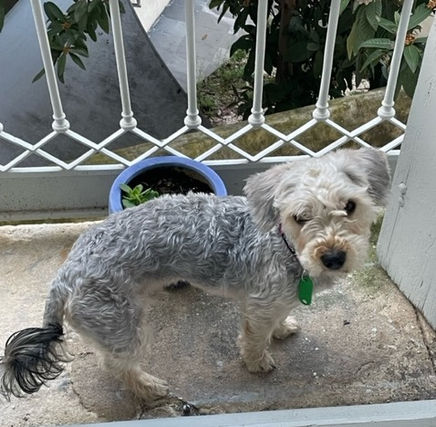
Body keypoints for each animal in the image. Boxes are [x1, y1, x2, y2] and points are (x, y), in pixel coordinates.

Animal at [0, 147, 390, 402]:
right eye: (300, 217)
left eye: (350, 206)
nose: (334, 257)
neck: (285, 245)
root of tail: (67, 273)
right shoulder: (259, 306)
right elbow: (254, 339)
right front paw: (257, 363)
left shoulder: (275, 301)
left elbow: (279, 320)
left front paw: (282, 330)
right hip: (122, 327)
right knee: (115, 365)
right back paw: (148, 387)